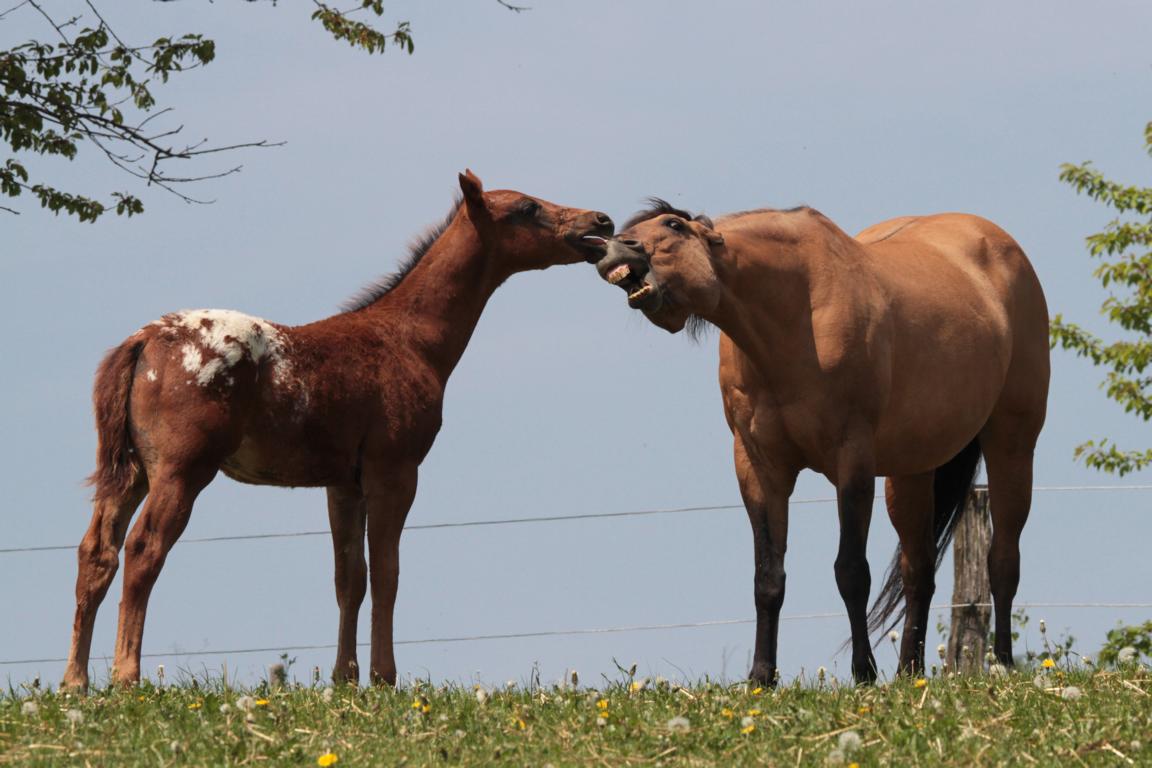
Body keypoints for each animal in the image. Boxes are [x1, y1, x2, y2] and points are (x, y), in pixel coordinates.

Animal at [64, 172, 617, 690]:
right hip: (181, 470)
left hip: (133, 471)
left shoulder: (342, 483)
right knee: (143, 550)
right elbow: (388, 572)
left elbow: (349, 578)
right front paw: (385, 677)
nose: (602, 221)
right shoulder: (395, 470)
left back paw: (76, 681)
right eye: (527, 208)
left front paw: (345, 678)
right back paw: (126, 676)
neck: (409, 340)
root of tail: (143, 341)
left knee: (96, 553)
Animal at [599, 200, 1050, 686]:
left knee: (1002, 560)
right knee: (919, 570)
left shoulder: (851, 460)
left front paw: (864, 672)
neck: (796, 314)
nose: (613, 248)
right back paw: (910, 671)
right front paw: (762, 676)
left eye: (673, 225)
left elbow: (851, 572)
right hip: (911, 470)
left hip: (1012, 443)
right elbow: (768, 577)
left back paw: (1002, 663)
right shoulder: (758, 468)